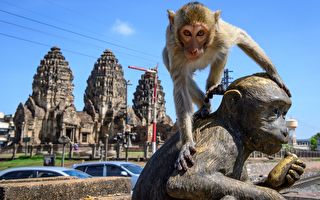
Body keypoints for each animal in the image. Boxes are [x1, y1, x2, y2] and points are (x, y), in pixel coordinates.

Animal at [164, 1, 292, 170]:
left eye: (200, 33)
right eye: (187, 33)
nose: (193, 50)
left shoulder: (221, 35)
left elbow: (240, 35)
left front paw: (275, 74)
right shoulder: (174, 47)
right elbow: (180, 86)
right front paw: (186, 144)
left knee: (222, 52)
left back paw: (213, 87)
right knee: (179, 72)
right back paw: (205, 105)